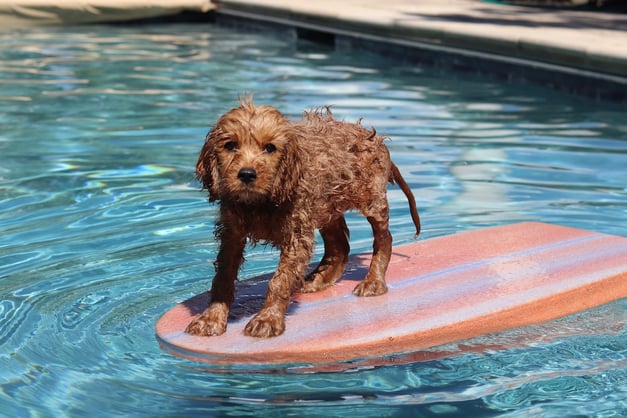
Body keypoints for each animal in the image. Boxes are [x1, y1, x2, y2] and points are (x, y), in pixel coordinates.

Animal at [186, 96, 422, 338]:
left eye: (270, 148)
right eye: (230, 145)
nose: (247, 174)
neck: (260, 201)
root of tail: (373, 138)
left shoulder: (296, 234)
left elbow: (280, 280)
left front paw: (267, 318)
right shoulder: (232, 233)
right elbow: (223, 276)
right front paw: (212, 316)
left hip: (371, 200)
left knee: (383, 238)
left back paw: (373, 282)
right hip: (327, 205)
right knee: (339, 246)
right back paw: (319, 279)